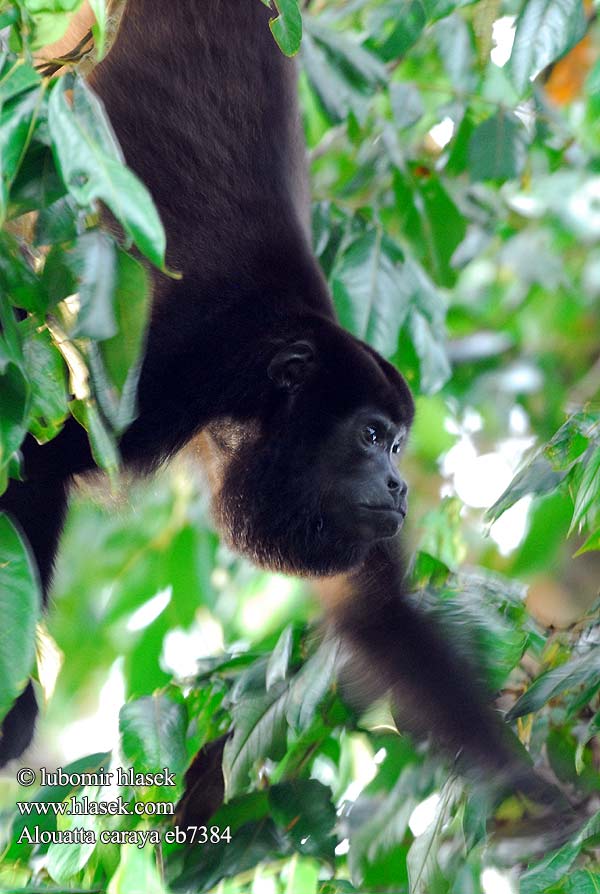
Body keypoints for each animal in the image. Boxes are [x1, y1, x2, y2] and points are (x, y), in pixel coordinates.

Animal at [1, 0, 524, 792]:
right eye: (372, 435)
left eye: (399, 442)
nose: (400, 485)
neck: (259, 392)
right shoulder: (173, 377)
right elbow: (35, 460)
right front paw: (13, 712)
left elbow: (376, 611)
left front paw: (538, 794)